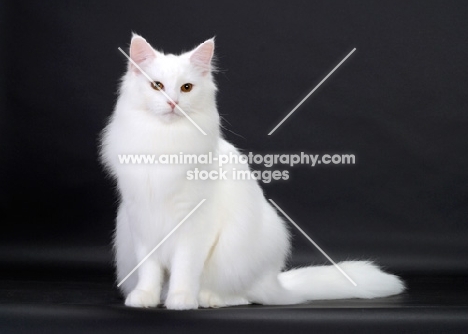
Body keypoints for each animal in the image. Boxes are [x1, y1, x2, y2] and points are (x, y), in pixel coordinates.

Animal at [99, 35, 406, 310]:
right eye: (157, 86)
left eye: (186, 88)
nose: (173, 102)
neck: (164, 141)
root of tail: (276, 283)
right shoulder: (142, 222)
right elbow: (149, 271)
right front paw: (145, 297)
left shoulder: (194, 226)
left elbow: (184, 269)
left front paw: (182, 300)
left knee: (244, 296)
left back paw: (208, 299)